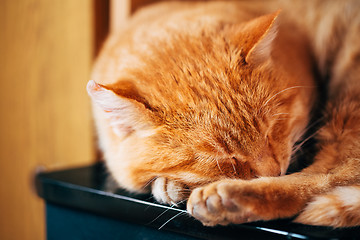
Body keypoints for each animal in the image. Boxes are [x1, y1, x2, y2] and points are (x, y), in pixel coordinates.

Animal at [87, 0, 360, 228]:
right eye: (224, 158)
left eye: (272, 129)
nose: (273, 172)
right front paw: (168, 184)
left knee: (331, 174)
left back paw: (228, 199)